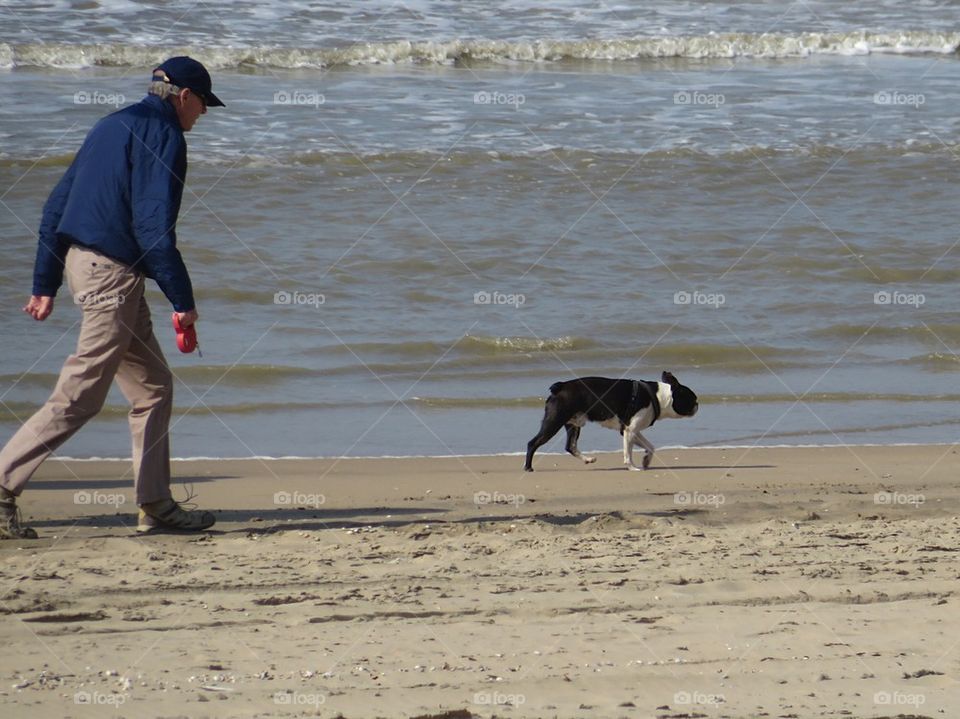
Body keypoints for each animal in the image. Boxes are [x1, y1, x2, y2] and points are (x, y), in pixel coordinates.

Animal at [524, 376, 696, 472]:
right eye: (691, 399)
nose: (697, 405)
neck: (658, 397)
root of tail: (560, 386)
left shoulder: (631, 430)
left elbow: (650, 446)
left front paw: (646, 460)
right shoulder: (630, 431)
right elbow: (628, 453)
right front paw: (632, 467)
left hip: (573, 424)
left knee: (570, 446)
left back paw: (587, 459)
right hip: (554, 422)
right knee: (533, 443)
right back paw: (528, 467)